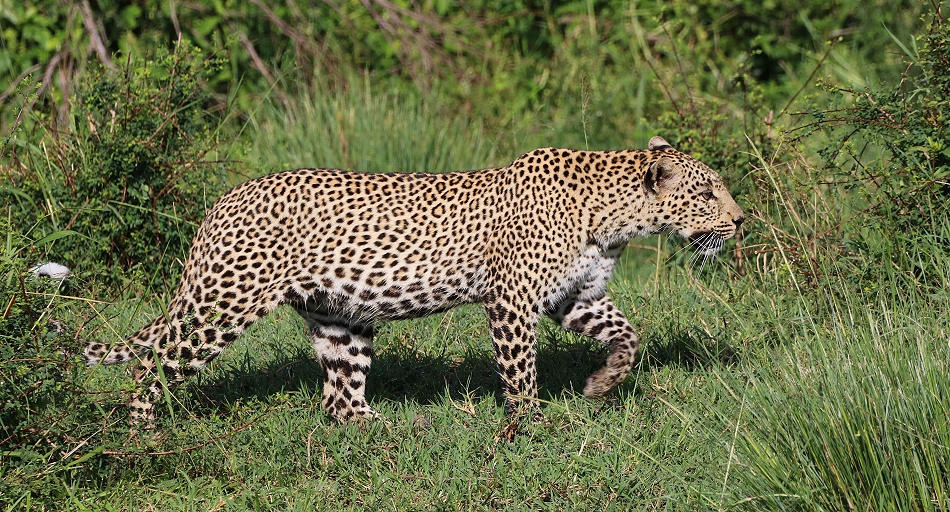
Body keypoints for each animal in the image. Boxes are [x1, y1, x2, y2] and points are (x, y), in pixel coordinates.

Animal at [85, 136, 744, 426]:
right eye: (708, 193)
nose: (740, 220)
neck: (615, 219)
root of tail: (221, 202)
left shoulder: (573, 296)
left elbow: (628, 334)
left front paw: (604, 384)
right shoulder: (514, 301)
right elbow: (521, 372)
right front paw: (530, 425)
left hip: (339, 316)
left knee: (339, 395)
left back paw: (380, 429)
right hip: (224, 303)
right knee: (152, 366)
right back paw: (143, 435)